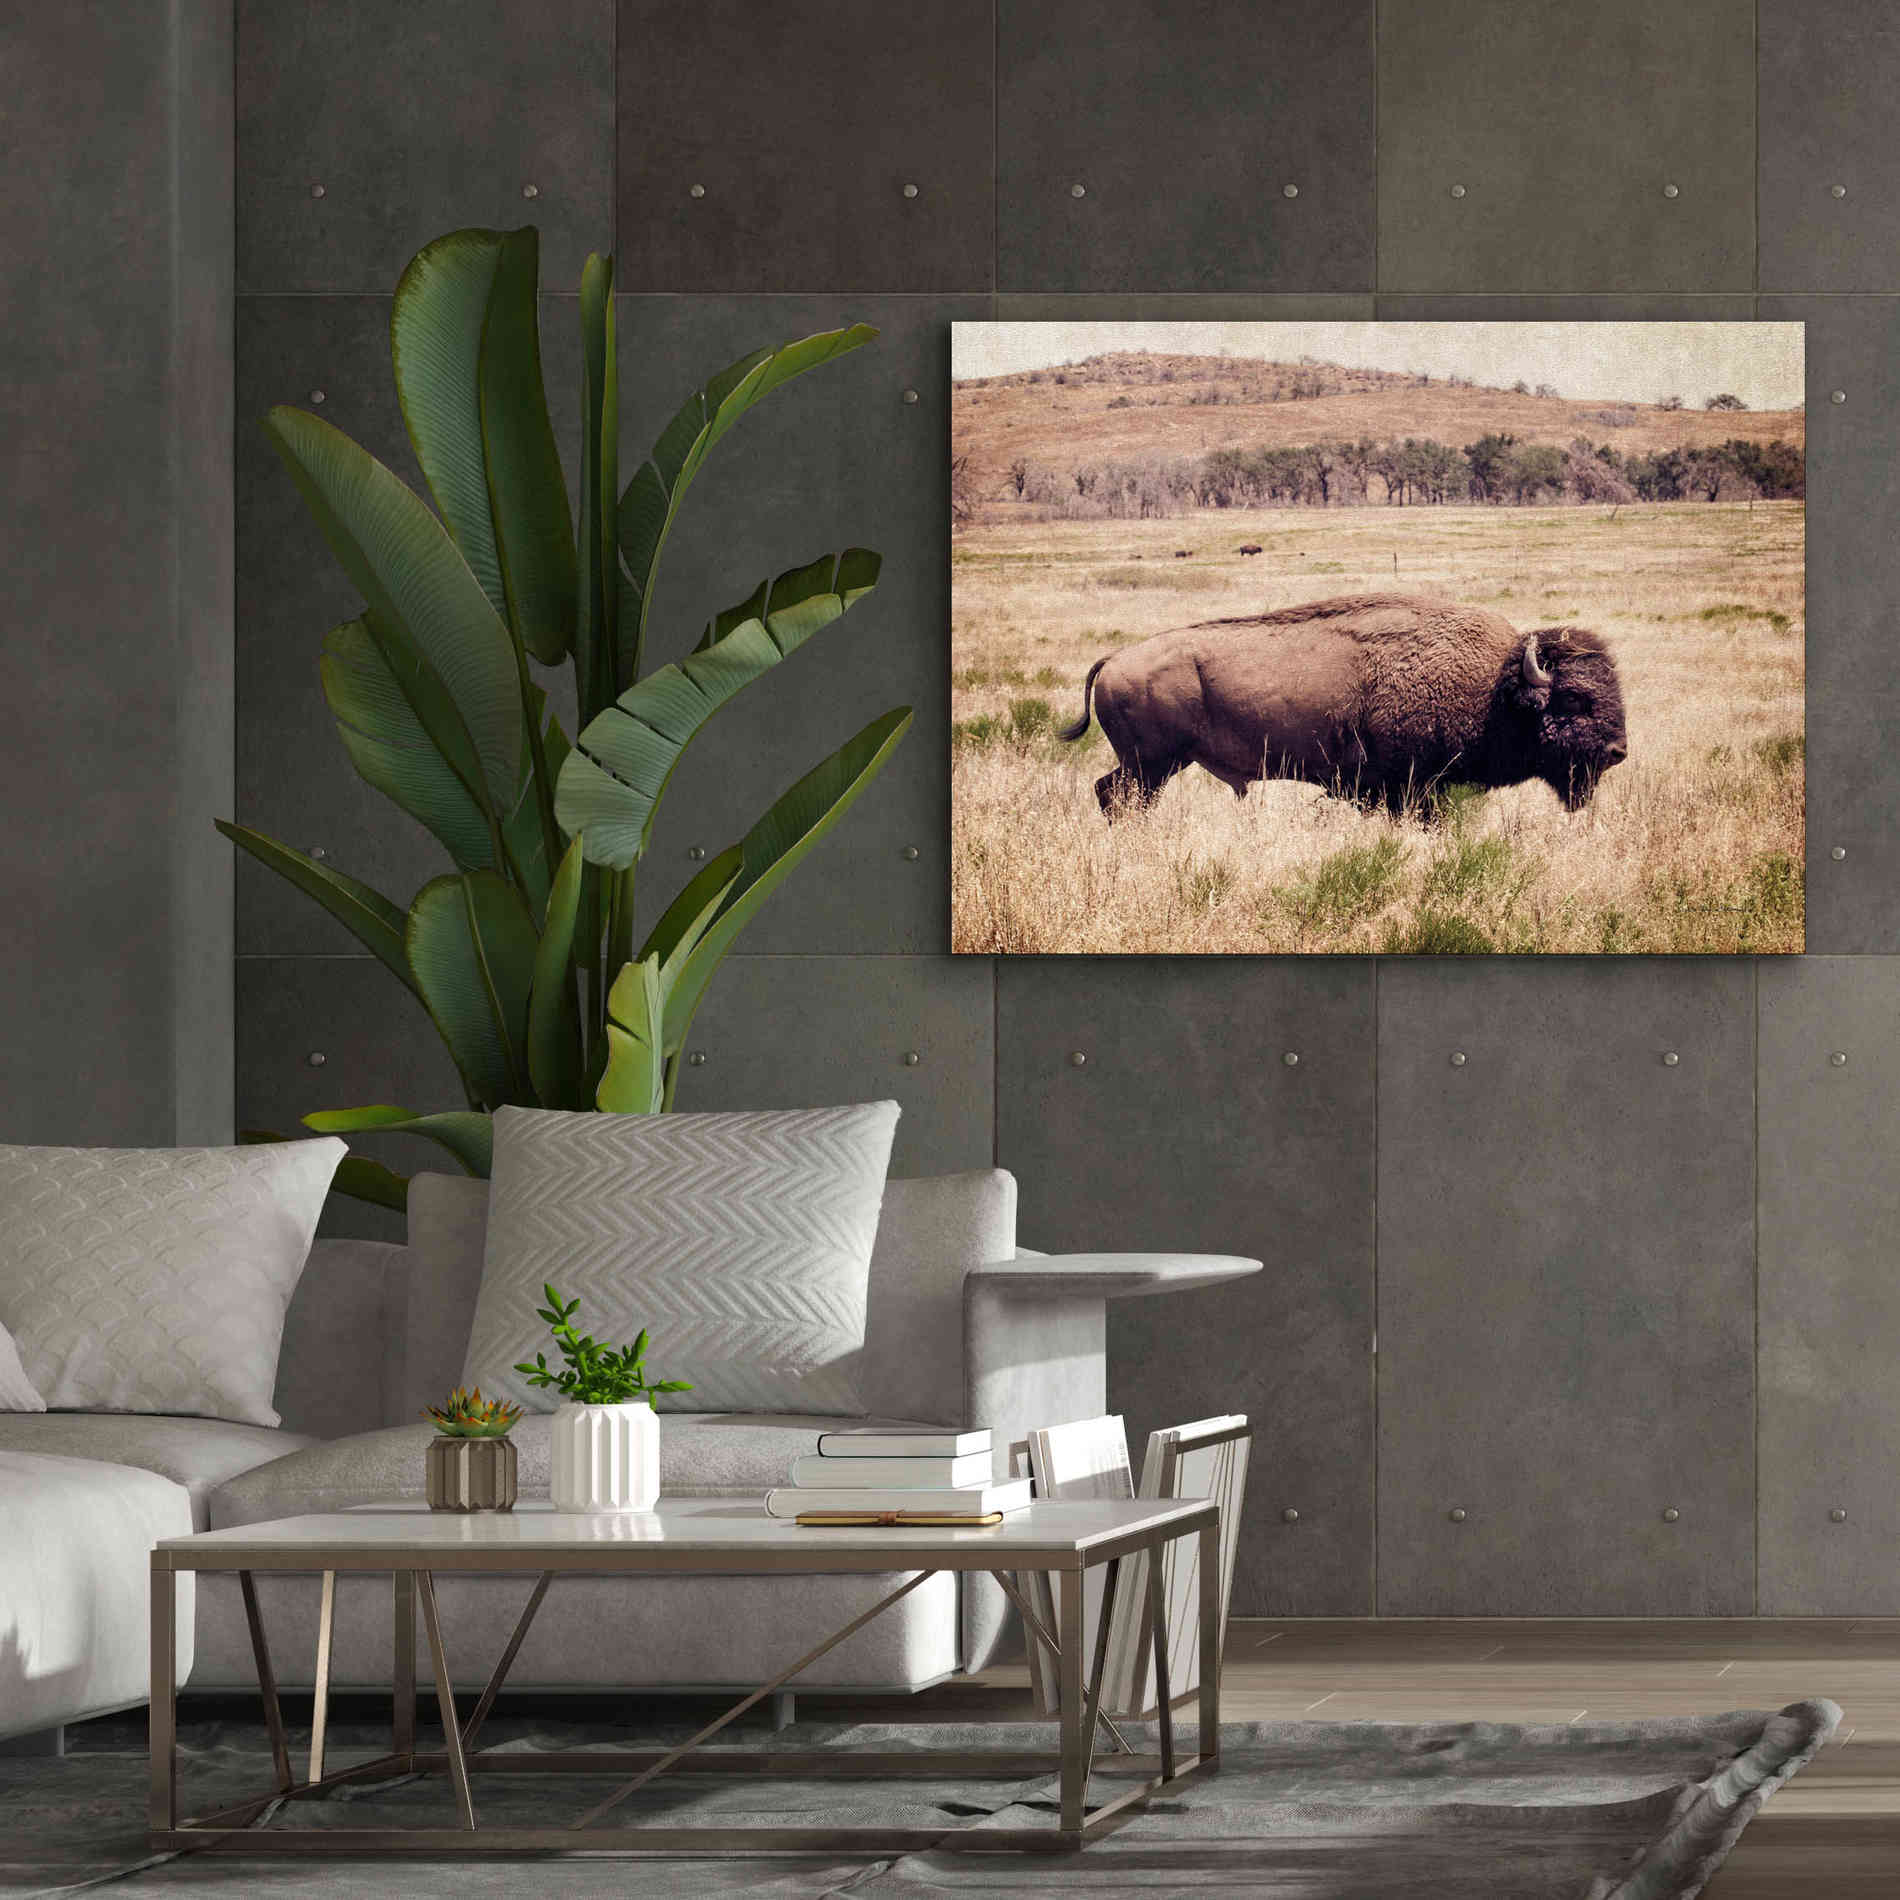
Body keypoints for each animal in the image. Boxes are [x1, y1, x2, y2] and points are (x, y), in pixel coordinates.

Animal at [1057, 592, 1628, 818]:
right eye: (1573, 699)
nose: (1618, 751)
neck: (1491, 688)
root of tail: (1115, 659)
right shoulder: (1409, 789)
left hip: (1153, 765)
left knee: (1108, 793)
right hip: (1151, 765)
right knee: (1117, 797)